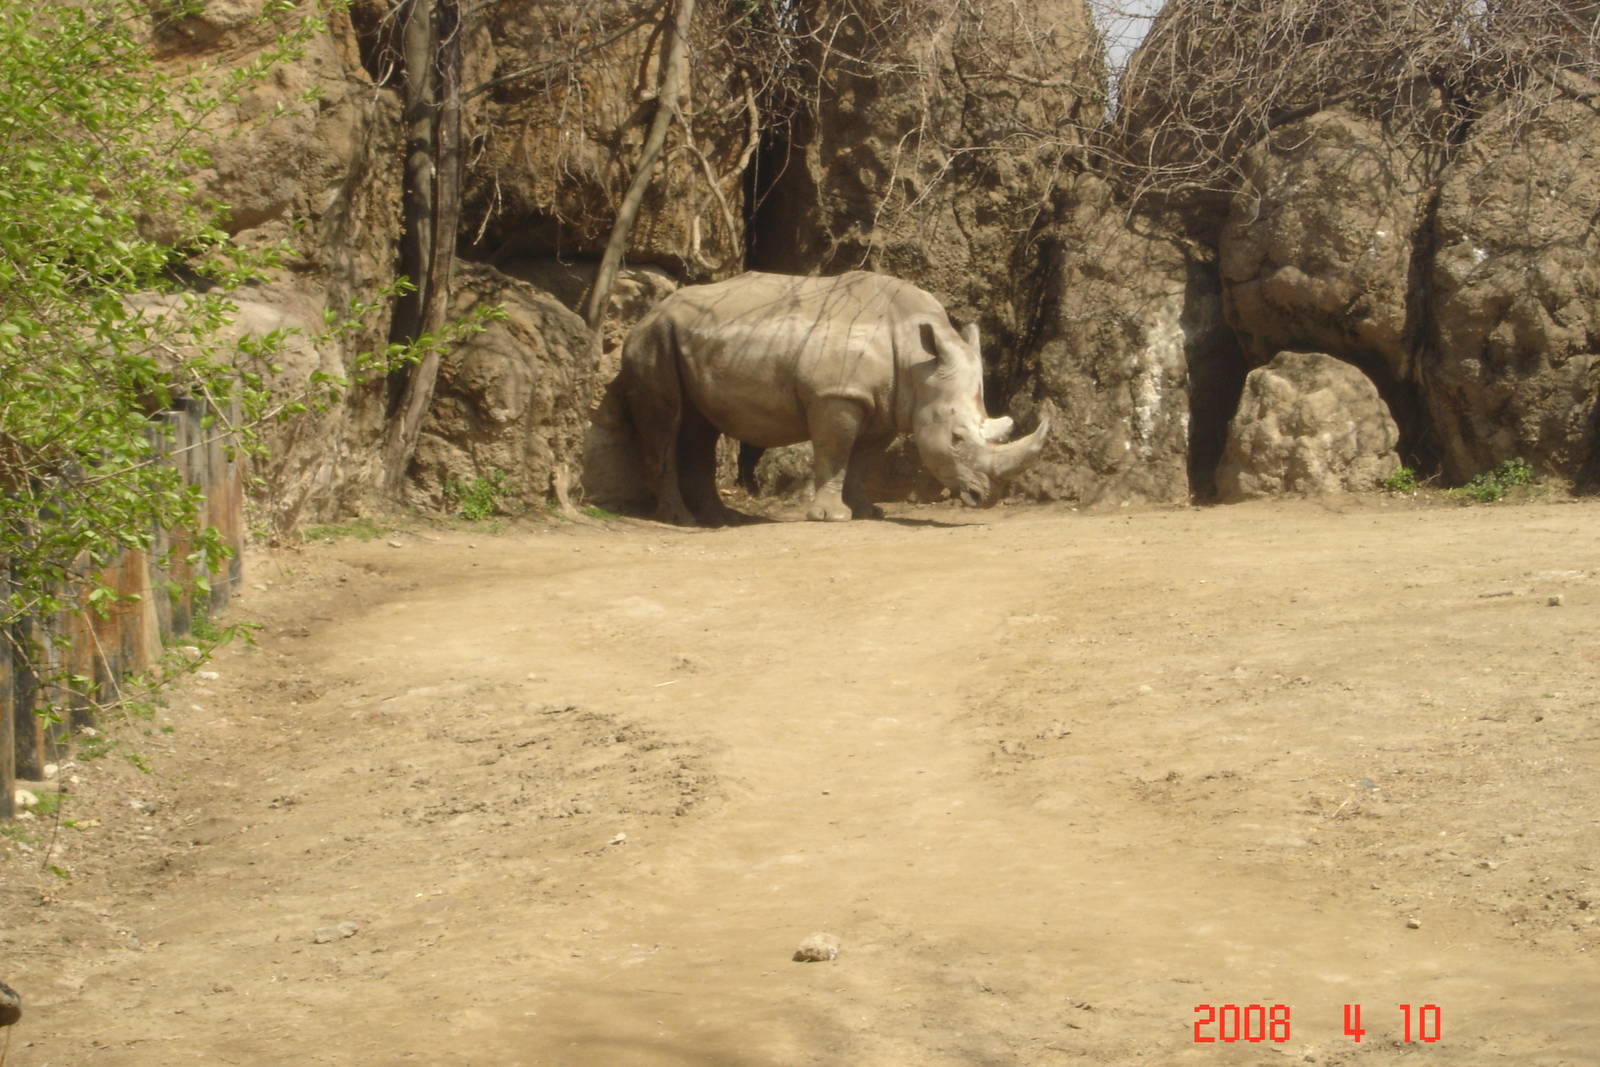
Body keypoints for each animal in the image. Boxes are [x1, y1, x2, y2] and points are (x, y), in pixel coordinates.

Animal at [619, 270, 1049, 524]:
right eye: (956, 438)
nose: (987, 497)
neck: (918, 361)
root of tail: (650, 312)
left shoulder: (885, 405)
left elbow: (861, 460)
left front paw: (868, 511)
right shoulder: (836, 396)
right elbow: (836, 452)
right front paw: (832, 516)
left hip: (693, 336)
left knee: (699, 426)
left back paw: (719, 519)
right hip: (653, 337)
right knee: (668, 420)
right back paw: (682, 521)